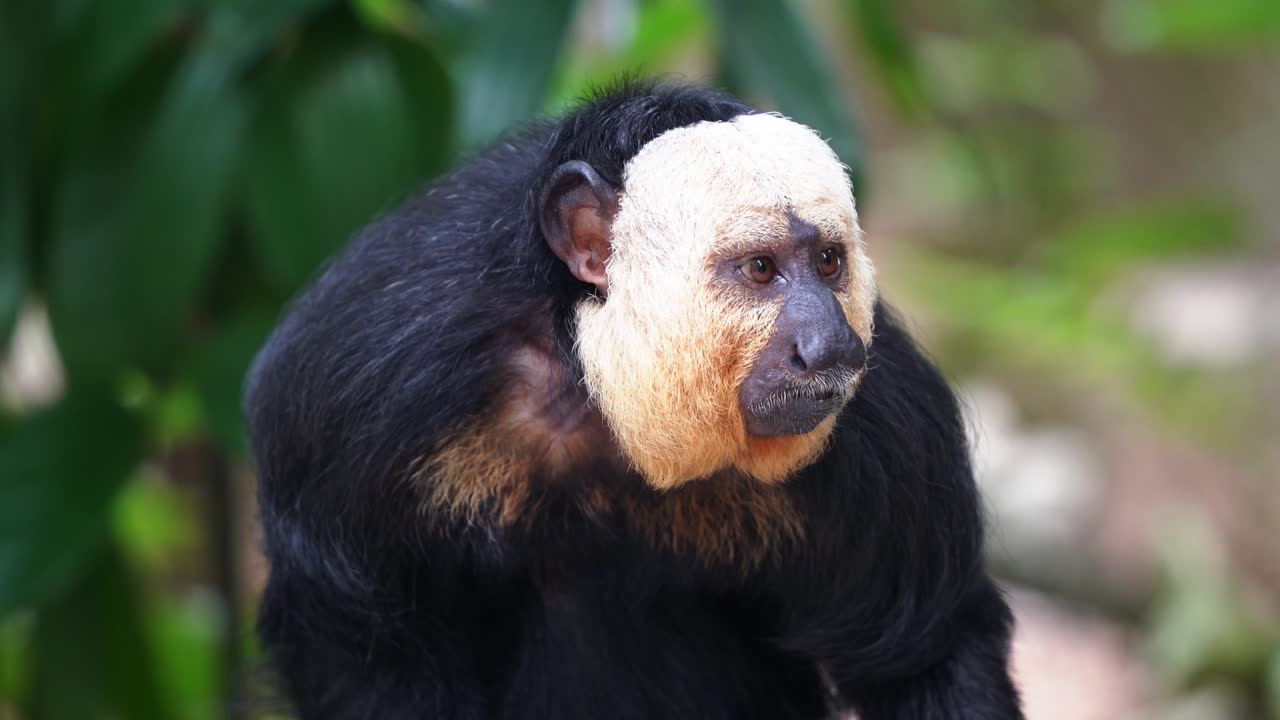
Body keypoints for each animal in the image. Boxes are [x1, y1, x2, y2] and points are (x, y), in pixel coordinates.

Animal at [244, 81, 1023, 719]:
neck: (591, 386)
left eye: (829, 263)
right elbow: (361, 644)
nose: (830, 346)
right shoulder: (359, 380)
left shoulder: (892, 427)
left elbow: (924, 657)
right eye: (761, 269)